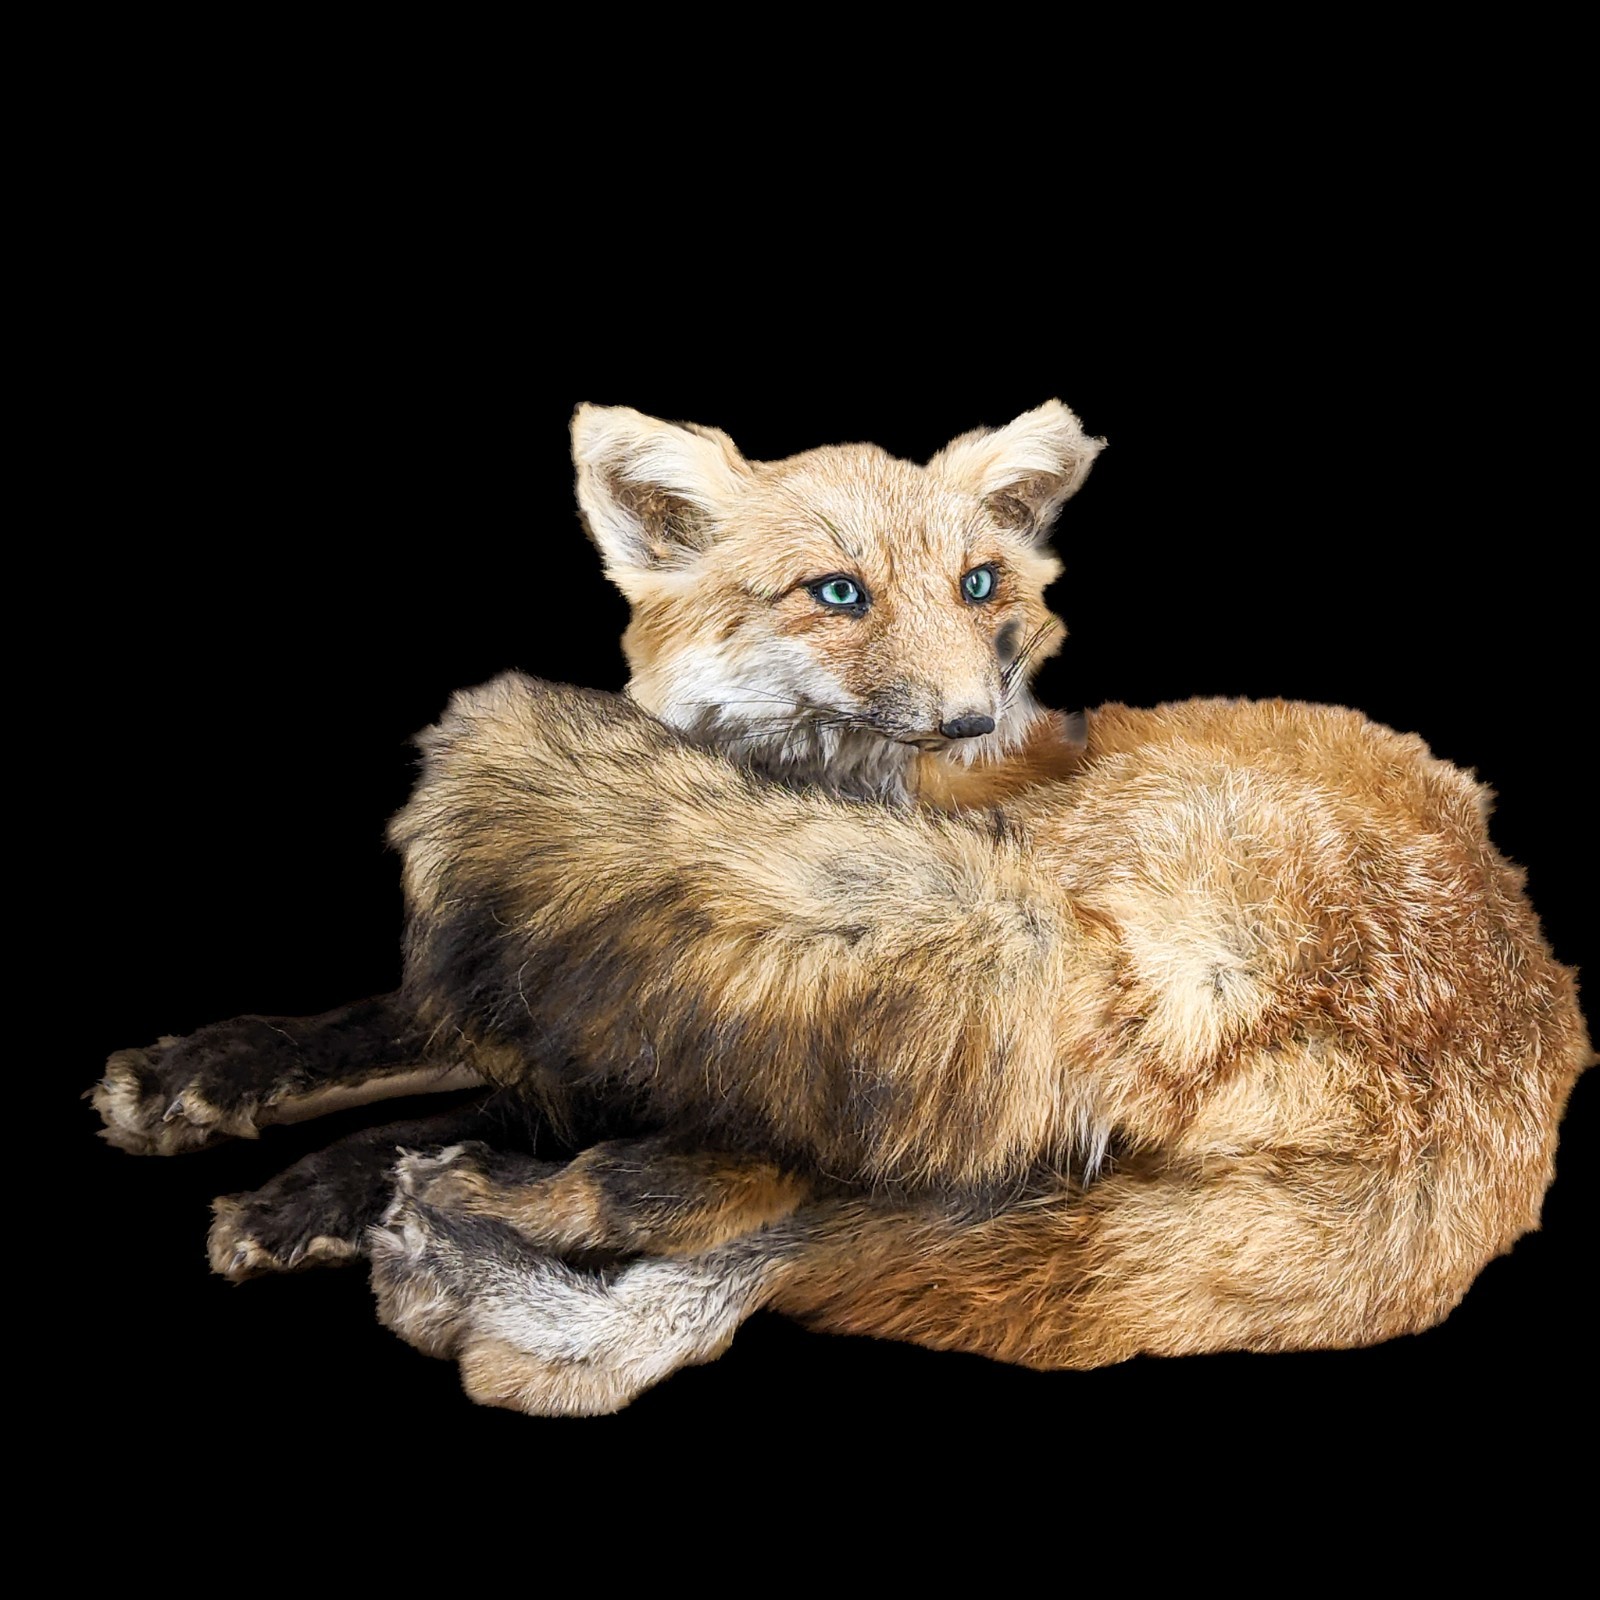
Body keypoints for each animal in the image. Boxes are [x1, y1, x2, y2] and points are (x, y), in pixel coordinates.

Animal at [90, 400, 1594, 1416]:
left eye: (981, 583)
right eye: (836, 591)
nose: (978, 723)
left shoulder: (710, 985)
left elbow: (486, 1089)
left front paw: (308, 1192)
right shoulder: (632, 963)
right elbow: (381, 1021)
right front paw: (201, 1074)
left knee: (699, 1217)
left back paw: (474, 1233)